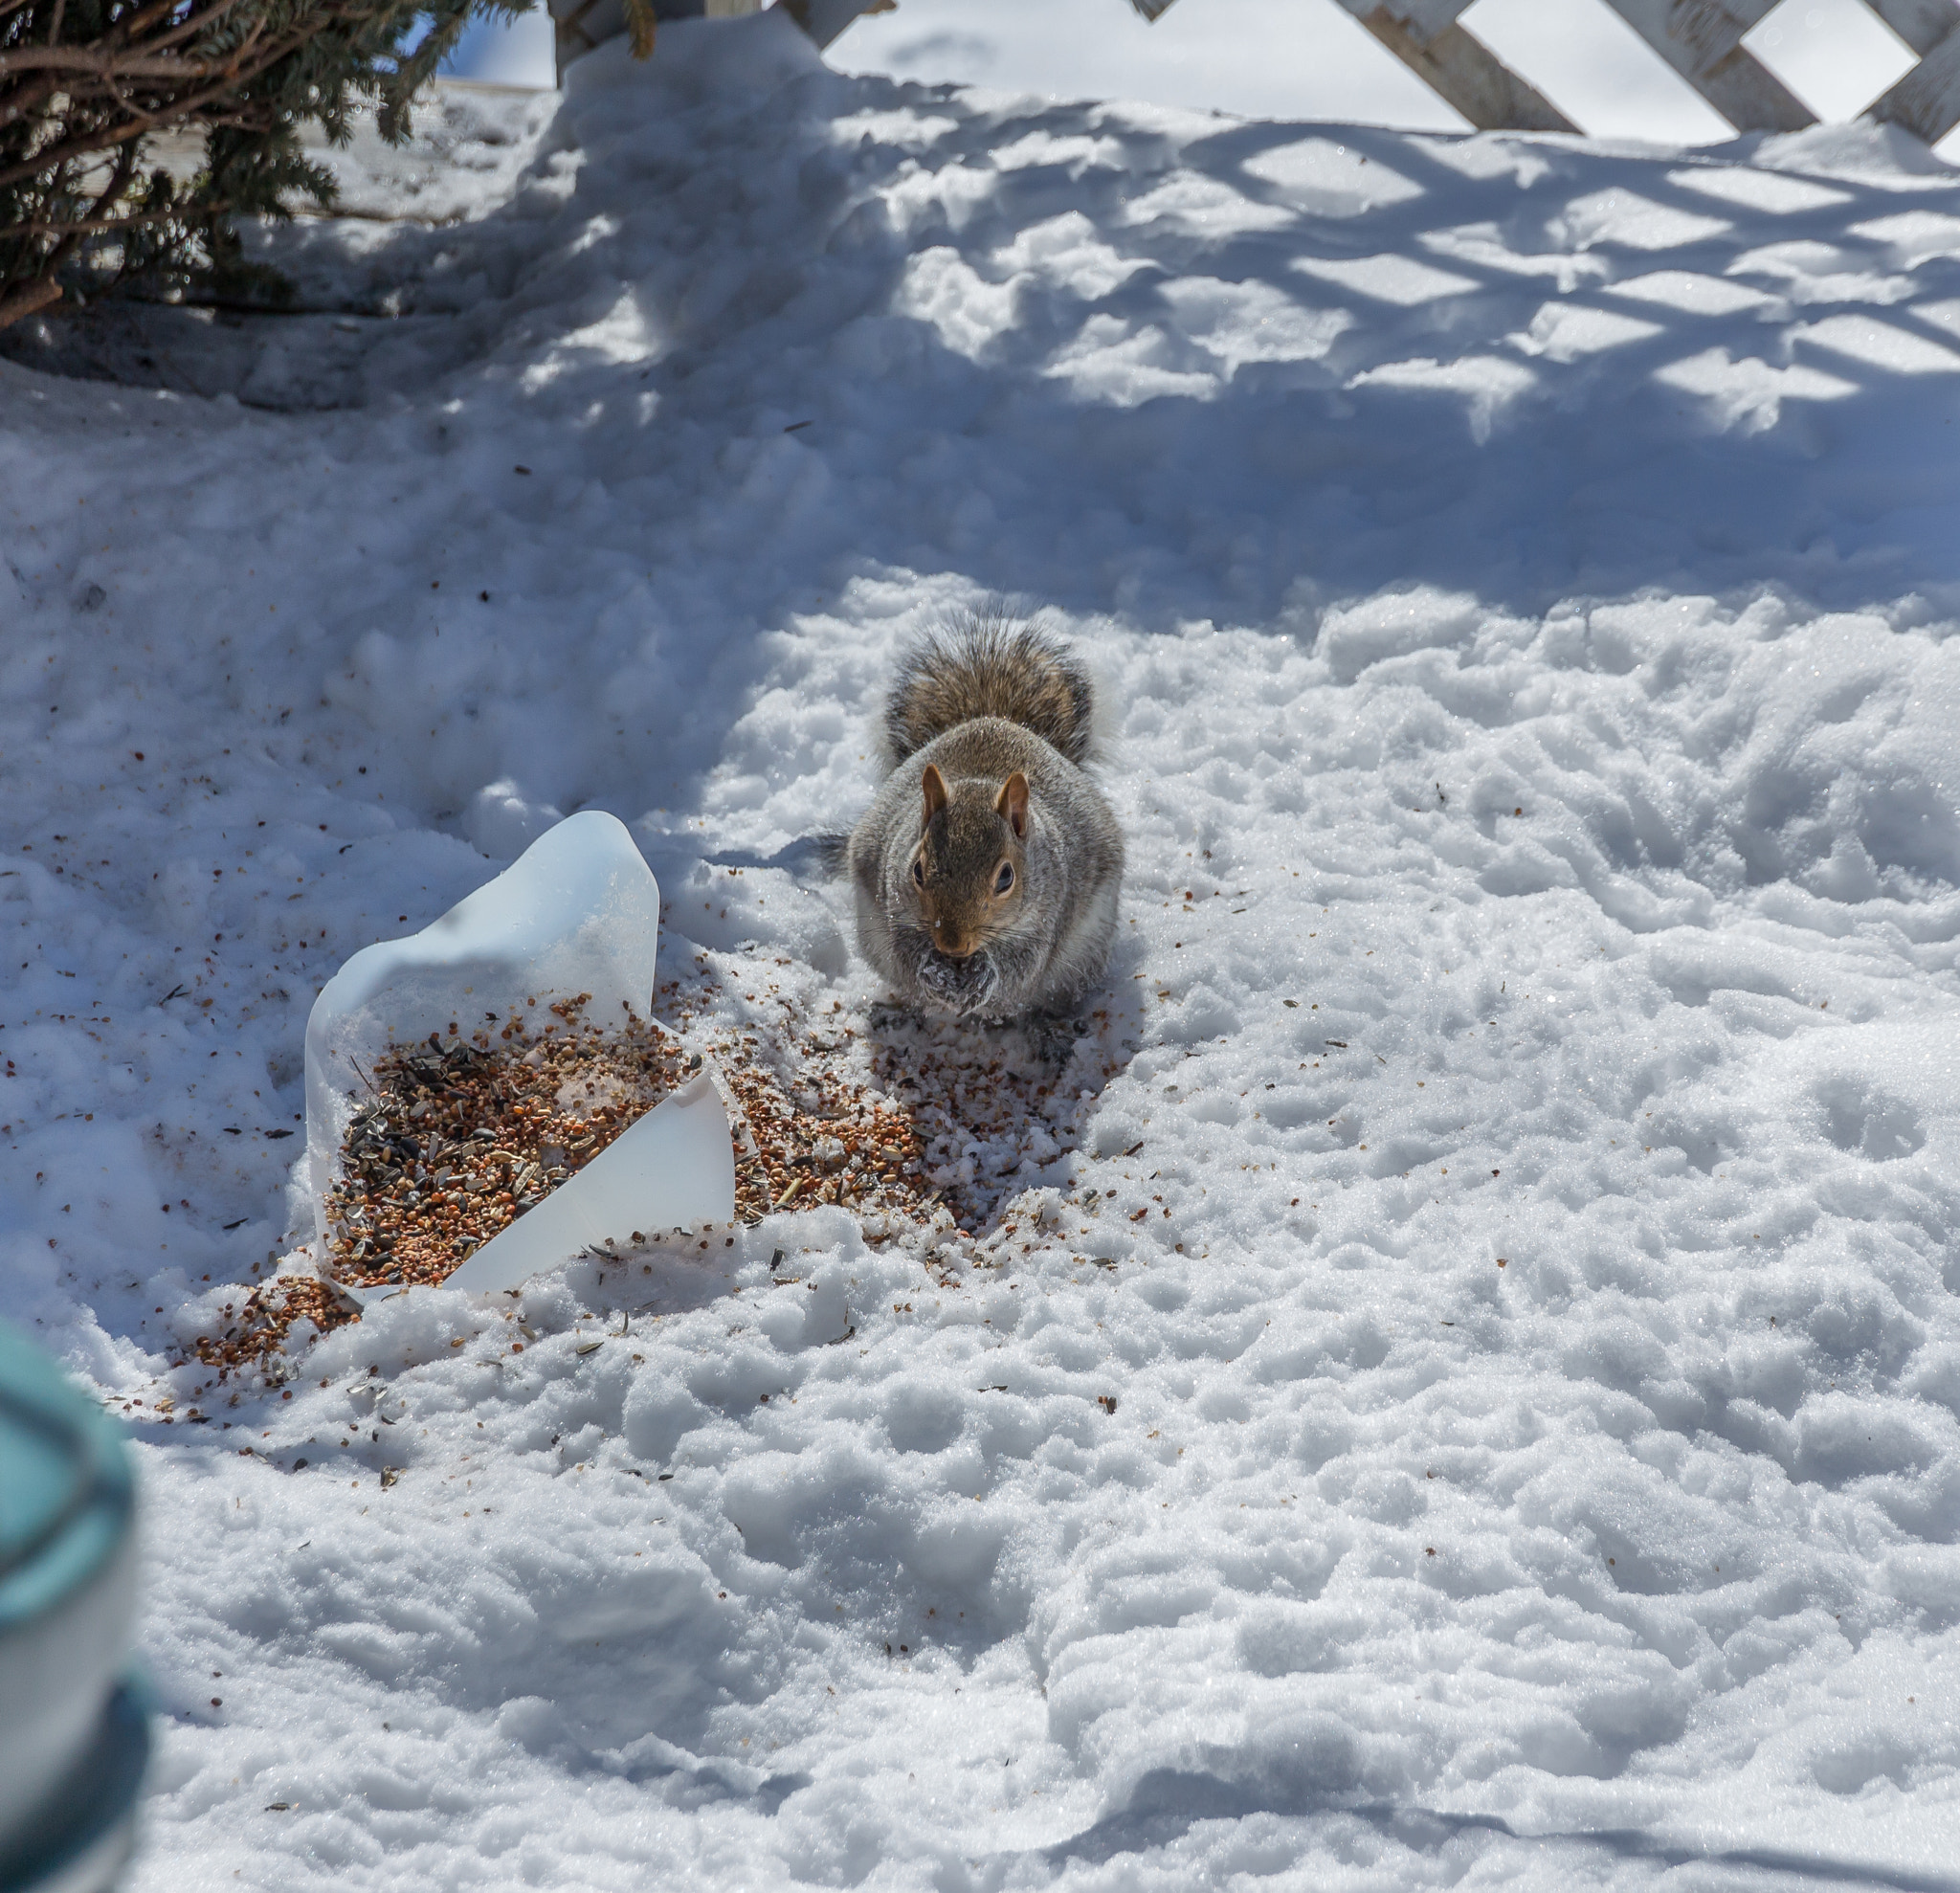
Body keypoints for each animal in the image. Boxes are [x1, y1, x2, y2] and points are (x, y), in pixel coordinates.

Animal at [840, 610, 1125, 1021]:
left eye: (1006, 878)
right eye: (917, 871)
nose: (952, 945)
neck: (979, 785)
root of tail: (995, 717)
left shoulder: (1048, 913)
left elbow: (1022, 965)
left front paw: (986, 976)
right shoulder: (893, 896)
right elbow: (905, 949)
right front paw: (930, 971)